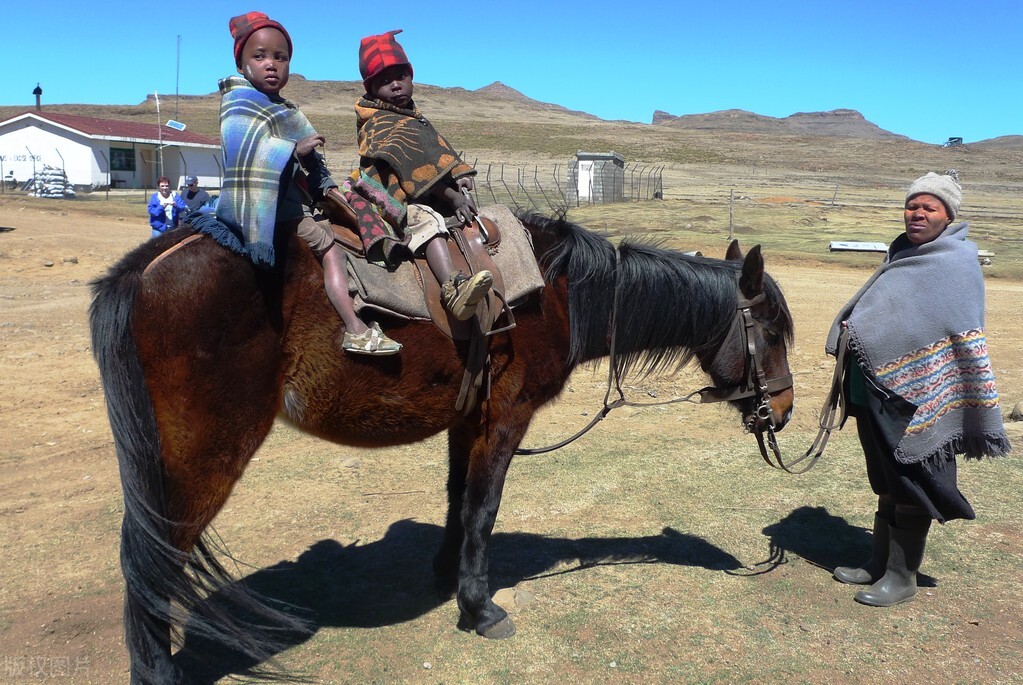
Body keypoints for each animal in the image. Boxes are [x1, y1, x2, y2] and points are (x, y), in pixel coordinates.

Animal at [87, 211, 793, 682]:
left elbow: (458, 498)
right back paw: (156, 670)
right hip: (201, 458)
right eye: (772, 332)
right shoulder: (505, 416)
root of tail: (149, 265)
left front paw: (447, 571)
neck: (556, 293)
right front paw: (478, 607)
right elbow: (485, 506)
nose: (782, 411)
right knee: (154, 557)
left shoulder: (466, 417)